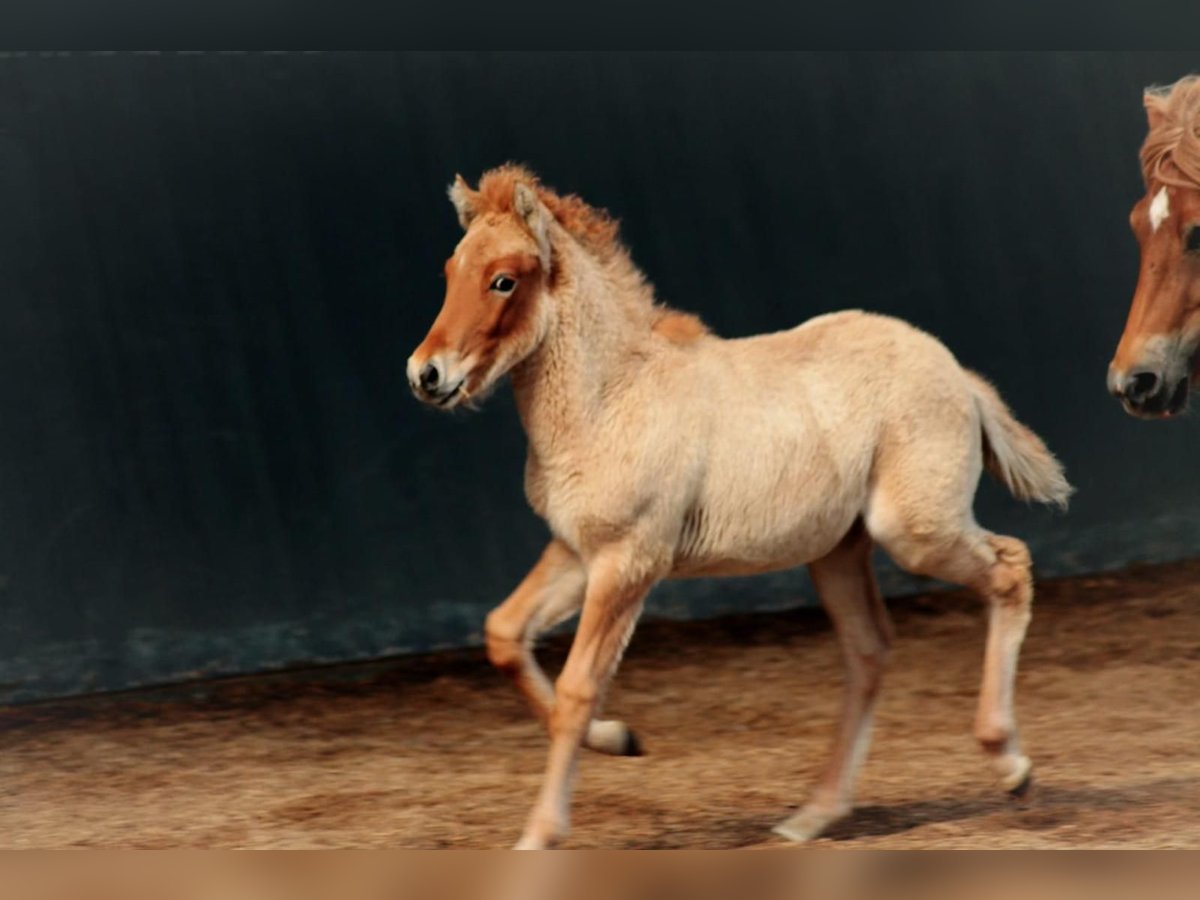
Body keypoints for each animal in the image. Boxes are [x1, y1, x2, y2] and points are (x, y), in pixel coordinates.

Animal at [408, 164, 1072, 849]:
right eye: (451, 269)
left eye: (504, 280)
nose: (425, 375)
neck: (611, 397)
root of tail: (958, 374)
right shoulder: (576, 550)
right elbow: (503, 634)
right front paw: (620, 739)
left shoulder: (629, 561)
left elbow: (577, 689)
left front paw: (540, 834)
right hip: (838, 550)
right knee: (869, 649)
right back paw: (812, 816)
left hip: (915, 530)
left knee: (1010, 566)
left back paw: (1011, 764)